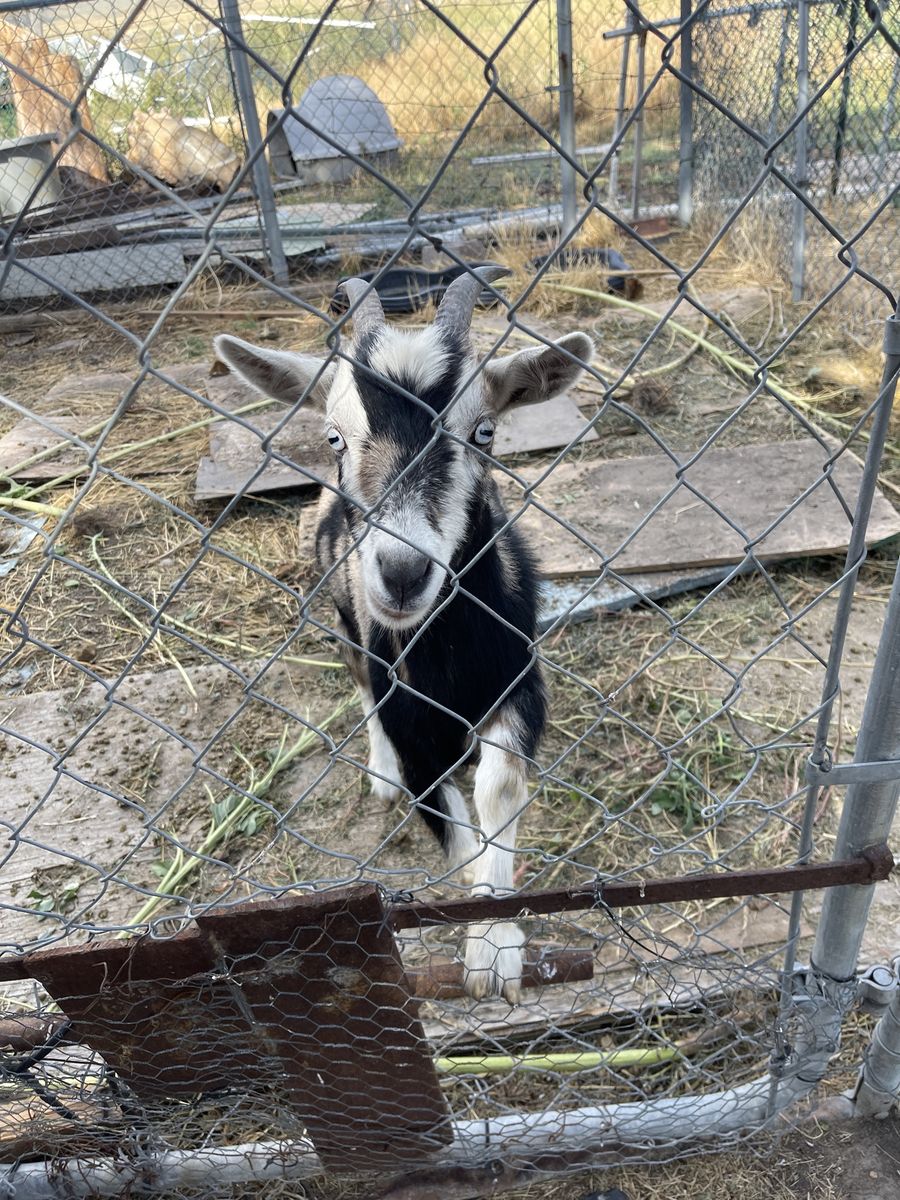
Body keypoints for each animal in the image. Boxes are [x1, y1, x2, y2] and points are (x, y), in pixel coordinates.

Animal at [214, 269, 593, 1002]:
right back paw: (380, 775)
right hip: (341, 618)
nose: (401, 571)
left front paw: (497, 941)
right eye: (334, 437)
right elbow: (446, 817)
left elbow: (499, 786)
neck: (449, 658)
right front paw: (485, 937)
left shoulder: (520, 682)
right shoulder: (406, 708)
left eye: (483, 431)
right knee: (359, 682)